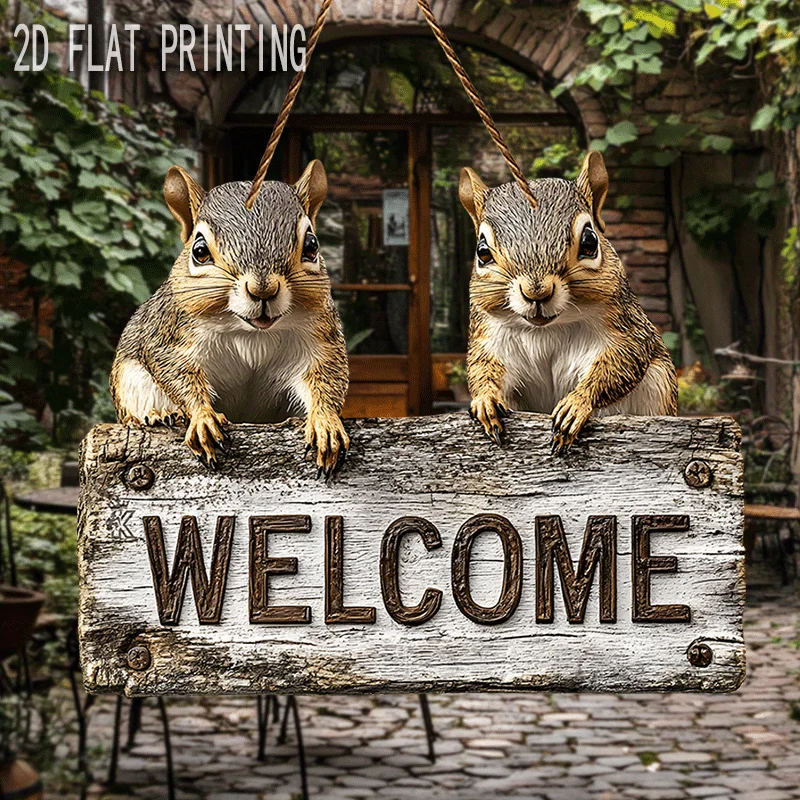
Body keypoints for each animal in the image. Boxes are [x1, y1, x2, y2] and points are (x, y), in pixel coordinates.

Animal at [110, 160, 350, 476]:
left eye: (312, 245)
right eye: (199, 251)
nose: (263, 289)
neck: (252, 333)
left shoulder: (321, 340)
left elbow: (326, 378)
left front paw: (325, 423)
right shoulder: (171, 337)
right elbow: (177, 373)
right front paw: (202, 418)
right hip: (130, 380)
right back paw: (160, 414)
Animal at [460, 150, 677, 454]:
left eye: (590, 241)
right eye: (482, 252)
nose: (536, 292)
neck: (546, 331)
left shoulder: (626, 328)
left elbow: (620, 364)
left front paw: (576, 404)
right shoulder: (490, 338)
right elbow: (481, 368)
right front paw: (485, 400)